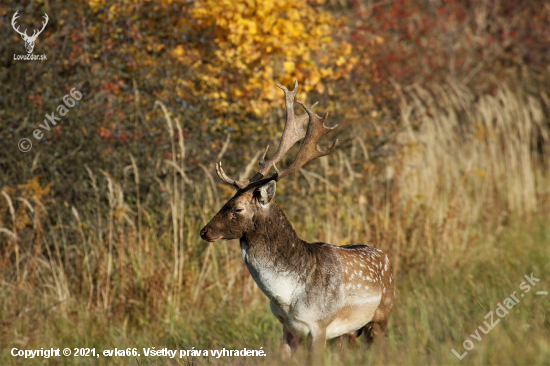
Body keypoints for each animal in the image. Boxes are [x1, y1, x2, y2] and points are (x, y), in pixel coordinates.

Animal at [201, 81, 394, 358]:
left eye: (237, 208)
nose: (205, 231)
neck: (287, 296)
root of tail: (387, 258)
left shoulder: (320, 324)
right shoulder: (287, 328)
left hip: (381, 316)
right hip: (349, 333)